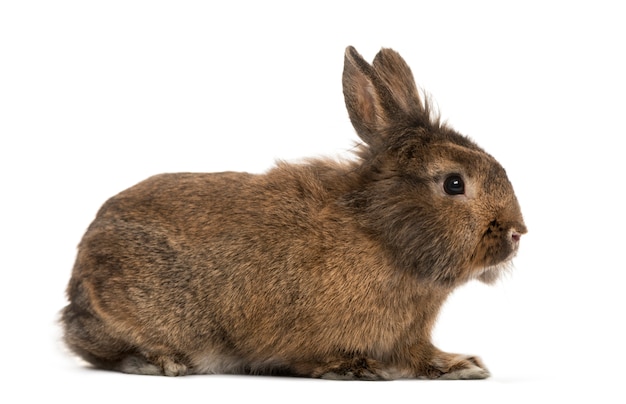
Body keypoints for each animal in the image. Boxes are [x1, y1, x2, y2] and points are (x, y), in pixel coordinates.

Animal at [61, 45, 524, 380]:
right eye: (454, 183)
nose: (518, 232)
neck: (380, 234)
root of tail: (77, 281)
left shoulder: (410, 336)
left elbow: (421, 356)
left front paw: (462, 366)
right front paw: (355, 368)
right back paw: (160, 362)